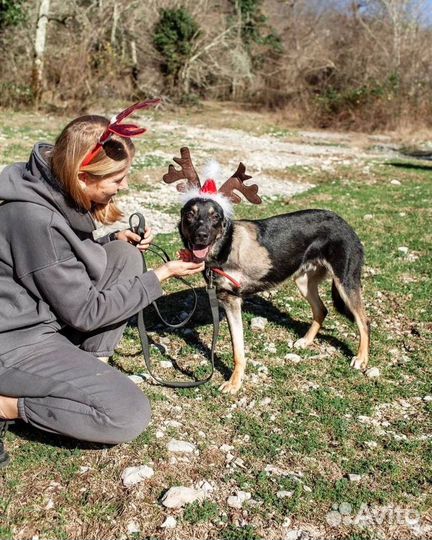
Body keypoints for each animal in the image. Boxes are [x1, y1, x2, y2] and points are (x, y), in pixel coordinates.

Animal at [164, 150, 370, 394]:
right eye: (190, 215)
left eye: (215, 216)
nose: (202, 236)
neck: (224, 247)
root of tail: (344, 223)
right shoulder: (225, 300)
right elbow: (237, 347)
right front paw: (236, 380)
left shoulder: (232, 301)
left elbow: (238, 350)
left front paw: (234, 383)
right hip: (303, 282)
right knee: (322, 310)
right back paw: (306, 341)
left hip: (345, 281)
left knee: (363, 320)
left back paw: (361, 358)